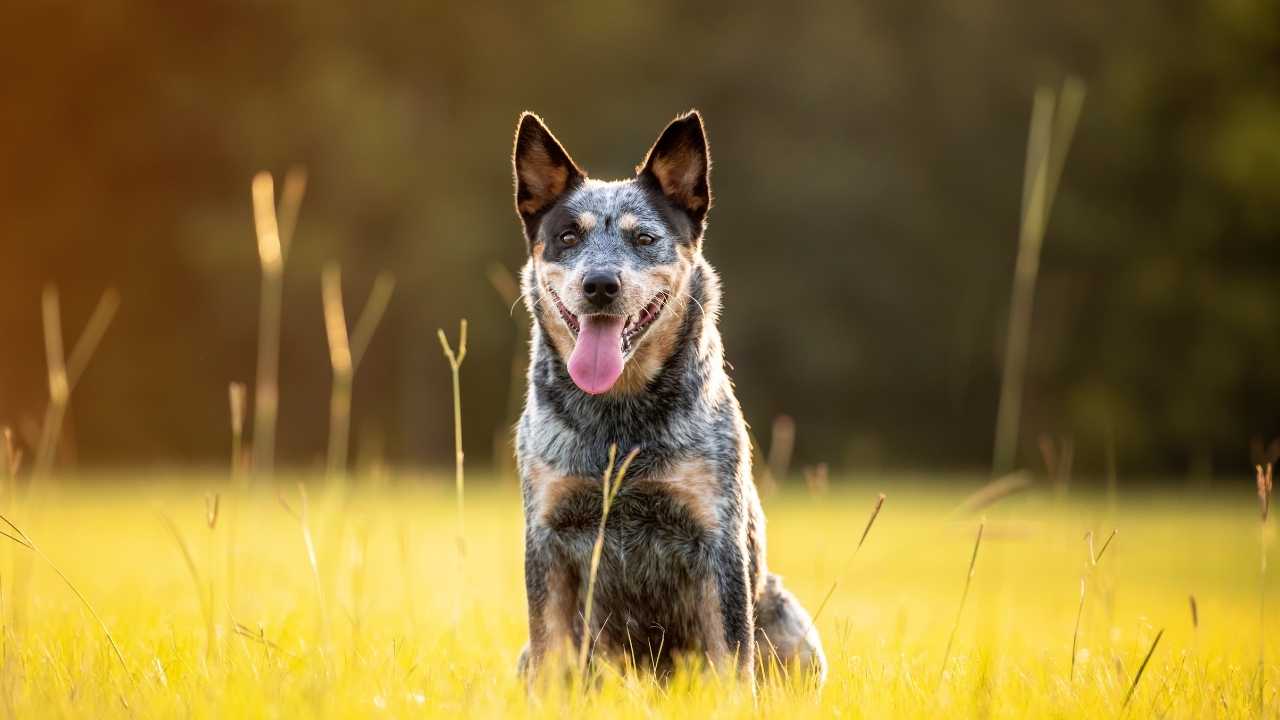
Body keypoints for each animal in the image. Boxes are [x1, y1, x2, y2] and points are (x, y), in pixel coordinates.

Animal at [506, 109, 819, 681]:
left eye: (645, 238)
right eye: (567, 236)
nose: (600, 284)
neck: (618, 424)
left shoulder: (716, 540)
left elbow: (732, 660)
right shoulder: (547, 540)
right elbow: (552, 655)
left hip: (791, 625)